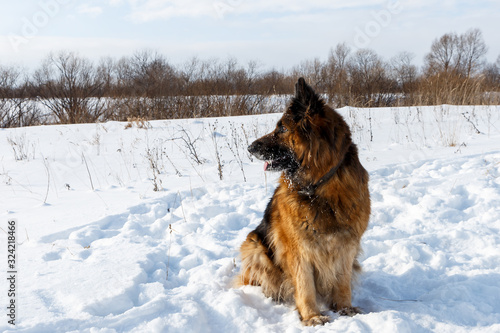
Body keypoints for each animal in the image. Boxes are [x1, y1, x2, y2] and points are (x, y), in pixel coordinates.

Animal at [237, 77, 372, 324]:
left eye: (282, 128)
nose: (250, 147)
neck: (319, 187)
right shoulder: (297, 250)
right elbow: (304, 284)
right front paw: (312, 317)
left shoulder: (347, 245)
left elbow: (342, 281)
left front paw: (345, 308)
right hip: (254, 245)